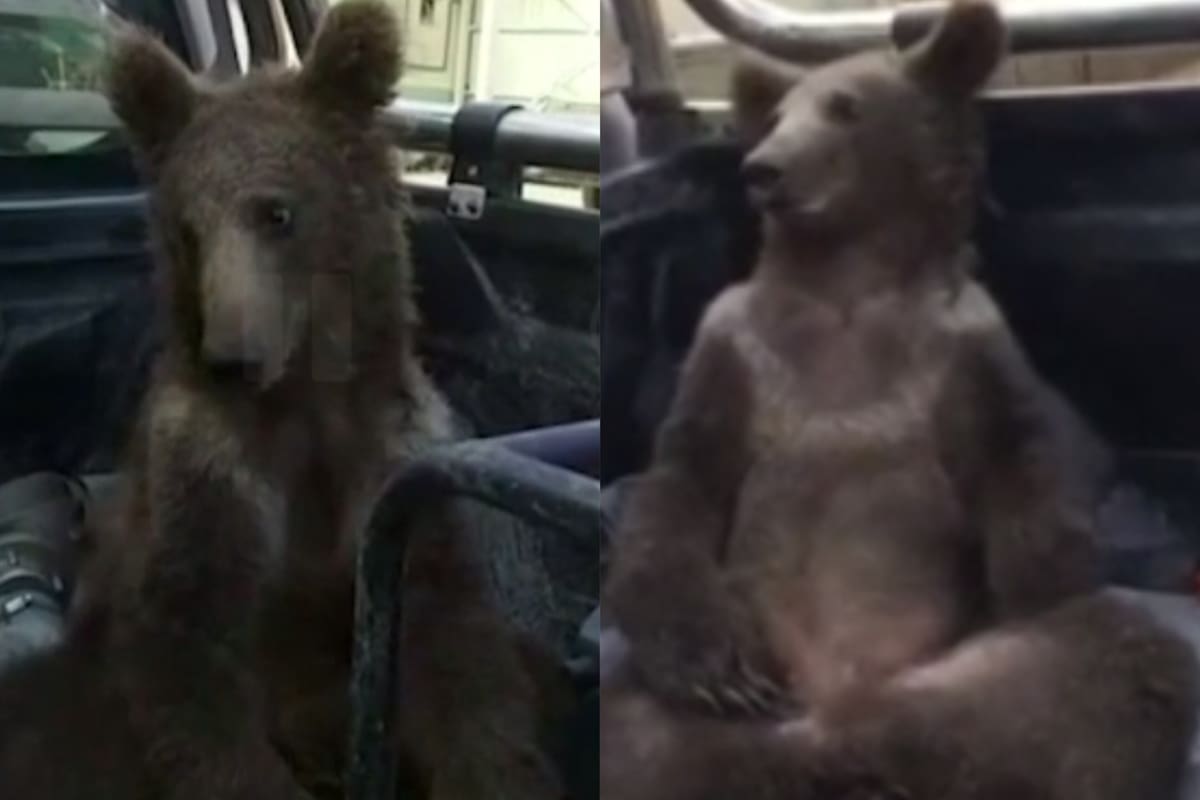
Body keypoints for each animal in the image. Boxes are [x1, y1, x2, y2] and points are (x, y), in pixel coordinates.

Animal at [0, 3, 563, 799]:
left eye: (278, 213)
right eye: (188, 227)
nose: (231, 359)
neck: (302, 402)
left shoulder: (396, 461)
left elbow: (460, 655)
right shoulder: (205, 484)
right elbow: (190, 663)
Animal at [600, 2, 1200, 799]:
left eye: (844, 107)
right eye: (778, 117)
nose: (764, 169)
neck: (846, 283)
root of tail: (824, 709)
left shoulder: (962, 344)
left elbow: (1020, 467)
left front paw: (1034, 569)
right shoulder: (734, 347)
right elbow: (683, 485)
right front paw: (721, 669)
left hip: (996, 674)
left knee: (1110, 662)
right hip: (660, 712)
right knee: (636, 738)